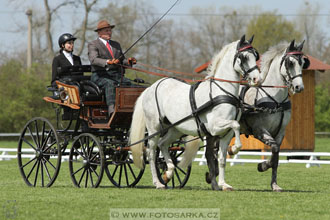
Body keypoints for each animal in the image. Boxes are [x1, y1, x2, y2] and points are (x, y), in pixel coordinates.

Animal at [129, 35, 260, 190]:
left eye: (256, 55)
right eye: (244, 57)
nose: (257, 79)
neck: (221, 91)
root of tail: (151, 88)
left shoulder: (226, 134)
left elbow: (222, 158)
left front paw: (223, 184)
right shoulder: (214, 127)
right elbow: (236, 125)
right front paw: (233, 149)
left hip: (175, 129)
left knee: (163, 144)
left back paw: (169, 173)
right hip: (154, 128)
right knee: (151, 152)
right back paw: (158, 182)